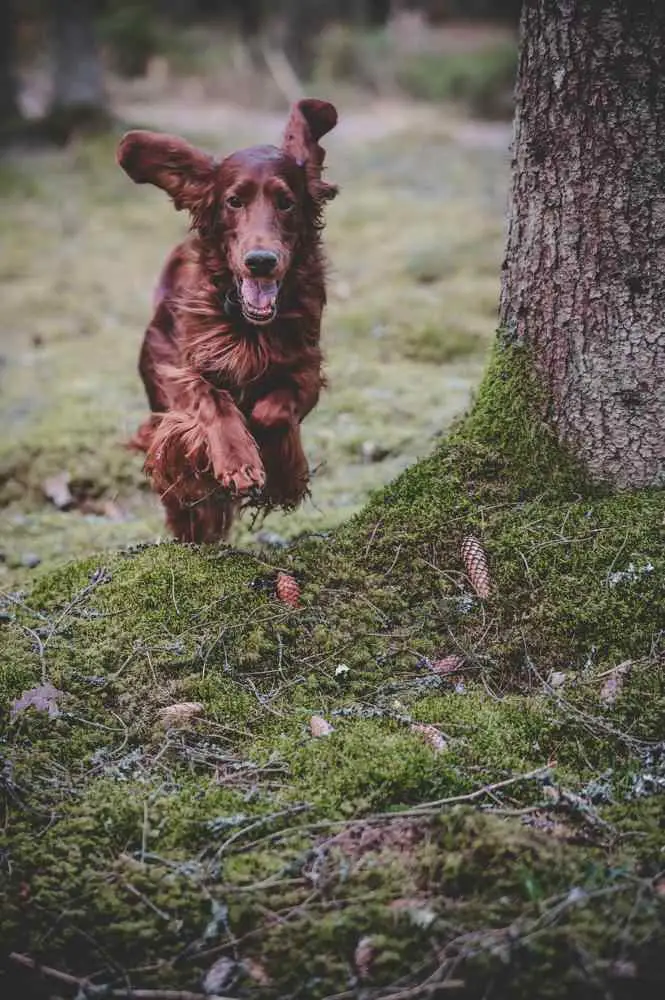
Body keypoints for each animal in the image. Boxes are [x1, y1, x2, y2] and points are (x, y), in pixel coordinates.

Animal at [115, 97, 338, 544]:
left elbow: (275, 410)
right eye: (234, 201)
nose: (261, 261)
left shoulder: (307, 368)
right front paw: (237, 460)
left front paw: (280, 468)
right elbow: (210, 398)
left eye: (286, 201)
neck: (249, 325)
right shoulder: (177, 367)